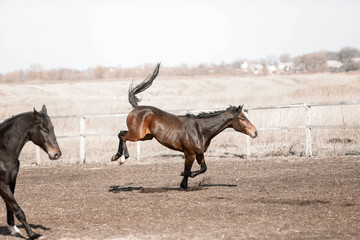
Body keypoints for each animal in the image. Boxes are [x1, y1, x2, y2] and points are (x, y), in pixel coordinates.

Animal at [0, 106, 61, 239]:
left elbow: (10, 206)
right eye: (44, 128)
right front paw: (33, 234)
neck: (2, 154)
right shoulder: (1, 185)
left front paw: (13, 229)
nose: (57, 154)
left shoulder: (11, 181)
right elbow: (17, 209)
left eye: (52, 127)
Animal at [111, 64, 258, 189]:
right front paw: (183, 182)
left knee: (122, 133)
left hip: (146, 136)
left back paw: (119, 158)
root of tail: (137, 108)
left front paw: (185, 184)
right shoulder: (190, 154)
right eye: (242, 118)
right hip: (137, 135)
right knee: (122, 135)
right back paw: (120, 158)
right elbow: (187, 170)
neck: (200, 130)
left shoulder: (199, 154)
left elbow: (203, 169)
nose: (255, 132)